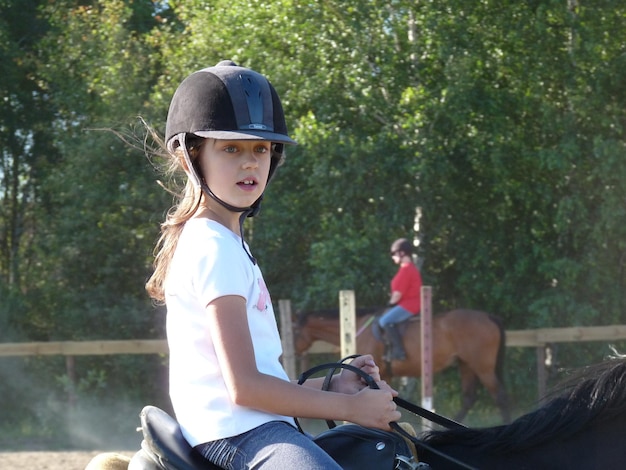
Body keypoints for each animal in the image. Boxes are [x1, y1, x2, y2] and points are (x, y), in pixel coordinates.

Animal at [292, 308, 508, 422]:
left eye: (296, 332)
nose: (293, 352)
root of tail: (487, 316)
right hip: (466, 365)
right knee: (469, 398)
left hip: (482, 366)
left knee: (500, 396)